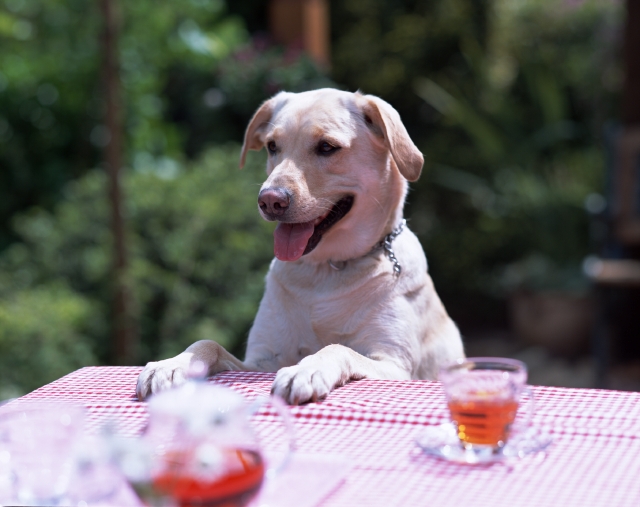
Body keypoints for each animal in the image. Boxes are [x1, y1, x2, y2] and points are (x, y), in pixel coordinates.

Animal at [136, 88, 464, 404]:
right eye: (272, 146)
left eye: (327, 147)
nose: (270, 200)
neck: (325, 270)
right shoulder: (260, 361)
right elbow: (208, 343)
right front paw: (171, 364)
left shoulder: (393, 364)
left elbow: (337, 347)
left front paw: (306, 370)